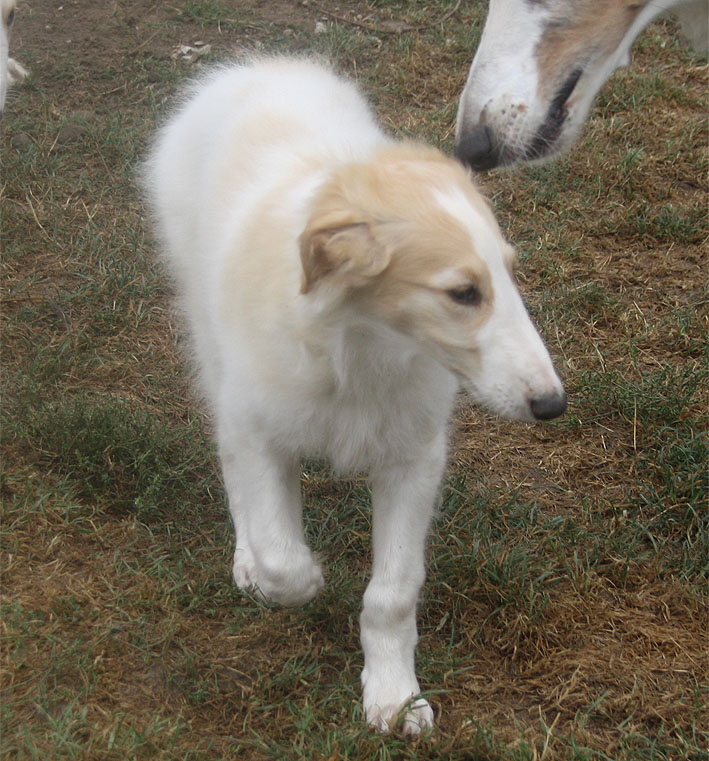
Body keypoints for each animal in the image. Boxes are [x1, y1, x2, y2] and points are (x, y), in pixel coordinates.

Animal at [144, 56, 566, 734]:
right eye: (463, 293)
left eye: (509, 273)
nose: (552, 405)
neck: (361, 349)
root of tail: (253, 66)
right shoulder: (257, 426)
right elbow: (280, 551)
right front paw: (296, 579)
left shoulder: (413, 459)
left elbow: (392, 592)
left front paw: (394, 697)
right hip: (210, 341)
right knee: (234, 469)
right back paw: (247, 557)